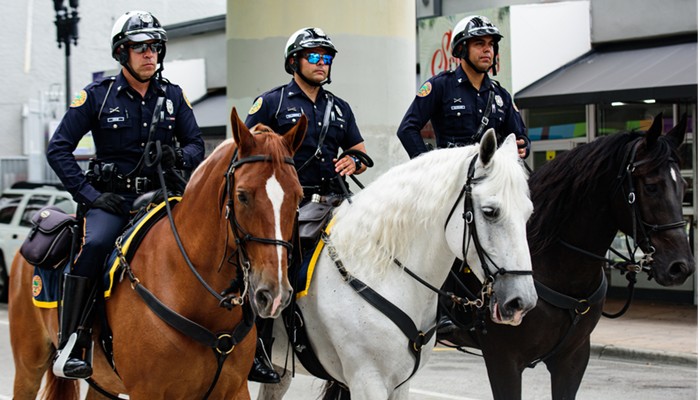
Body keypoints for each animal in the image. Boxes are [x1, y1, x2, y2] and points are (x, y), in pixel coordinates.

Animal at [8, 108, 306, 398]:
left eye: (299, 196)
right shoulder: (147, 391)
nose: (275, 293)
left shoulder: (235, 389)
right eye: (243, 195)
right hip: (28, 368)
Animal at [258, 130, 536, 398]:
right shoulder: (367, 381)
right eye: (490, 211)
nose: (522, 302)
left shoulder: (400, 383)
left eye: (528, 213)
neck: (376, 270)